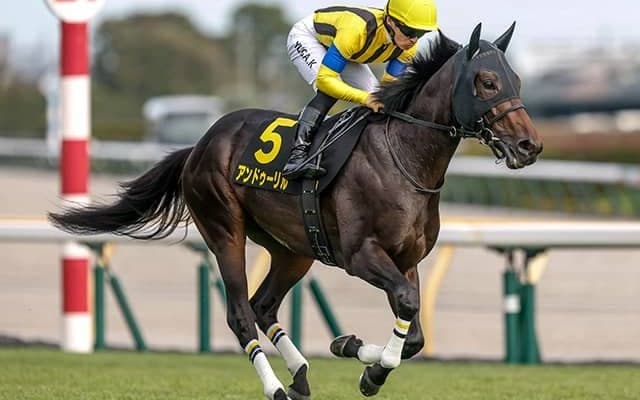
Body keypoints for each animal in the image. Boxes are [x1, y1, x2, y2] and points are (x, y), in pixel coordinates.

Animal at [49, 23, 542, 400]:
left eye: (516, 80)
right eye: (488, 82)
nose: (529, 146)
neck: (403, 156)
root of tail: (200, 145)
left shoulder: (407, 259)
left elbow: (415, 330)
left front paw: (354, 351)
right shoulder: (361, 255)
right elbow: (405, 303)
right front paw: (370, 367)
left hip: (294, 249)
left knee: (263, 305)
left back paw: (301, 375)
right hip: (225, 230)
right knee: (240, 313)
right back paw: (276, 387)